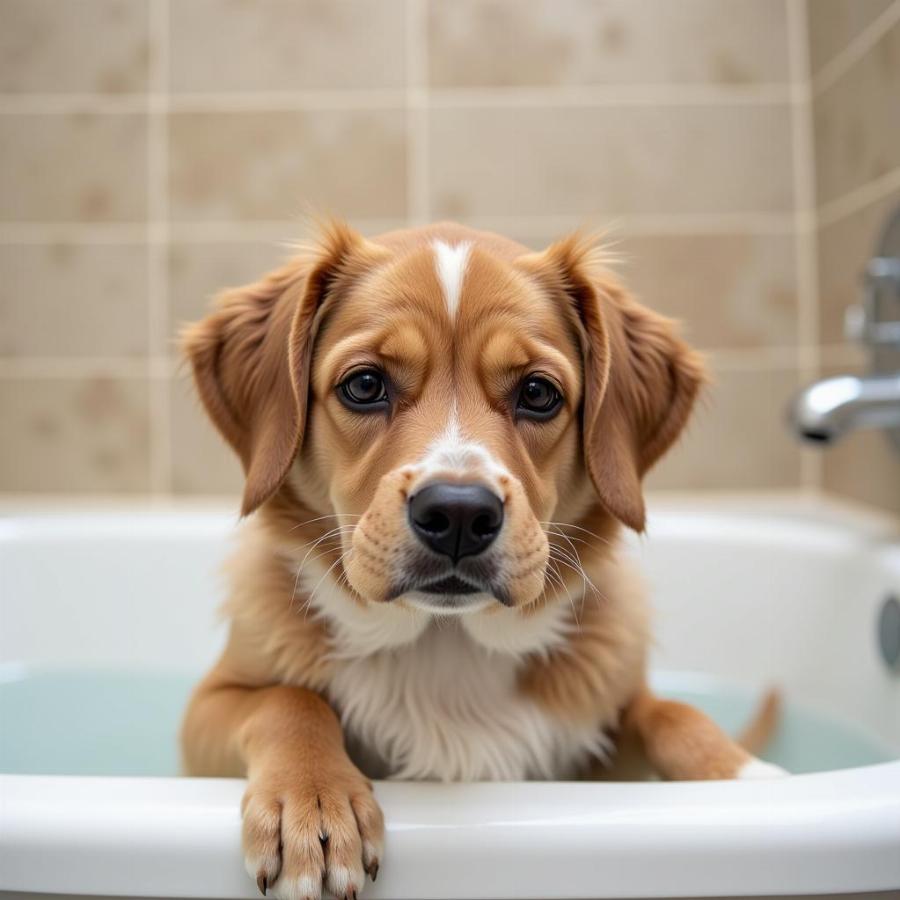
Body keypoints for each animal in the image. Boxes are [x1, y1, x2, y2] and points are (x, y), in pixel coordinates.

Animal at [179, 220, 784, 900]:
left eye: (538, 393)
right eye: (365, 385)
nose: (459, 514)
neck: (445, 646)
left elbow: (670, 710)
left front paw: (739, 774)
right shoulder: (206, 712)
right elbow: (287, 702)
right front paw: (312, 799)